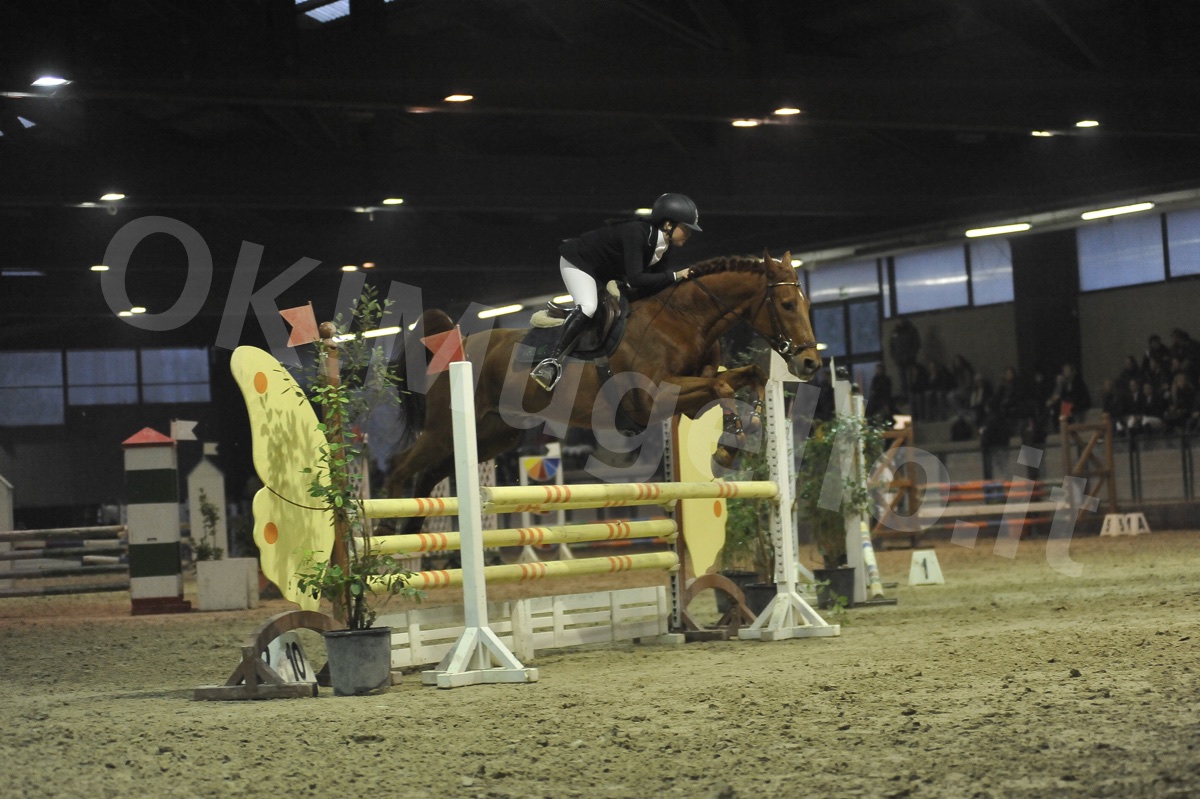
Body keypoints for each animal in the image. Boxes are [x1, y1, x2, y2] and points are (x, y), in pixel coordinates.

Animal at [388, 251, 820, 532]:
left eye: (805, 303)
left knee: (430, 473)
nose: (809, 364)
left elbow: (748, 376)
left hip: (492, 435)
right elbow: (723, 383)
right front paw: (728, 446)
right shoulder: (652, 399)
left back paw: (413, 531)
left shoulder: (686, 402)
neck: (685, 319)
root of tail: (457, 344)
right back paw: (389, 530)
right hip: (444, 429)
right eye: (786, 303)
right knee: (402, 465)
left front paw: (747, 430)